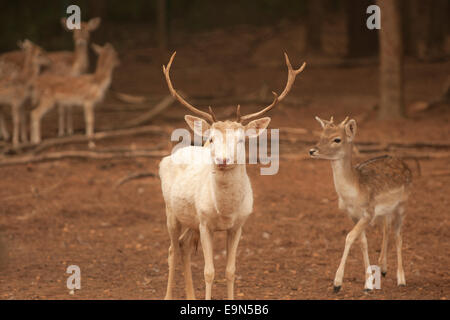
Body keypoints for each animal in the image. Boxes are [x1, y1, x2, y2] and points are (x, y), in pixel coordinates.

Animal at [159, 51, 306, 298]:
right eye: (211, 138)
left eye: (241, 140)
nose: (223, 160)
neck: (225, 212)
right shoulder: (205, 224)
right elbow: (209, 272)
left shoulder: (238, 225)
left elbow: (230, 271)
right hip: (171, 211)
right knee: (171, 250)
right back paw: (169, 295)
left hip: (190, 220)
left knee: (183, 245)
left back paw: (191, 295)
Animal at [310, 116, 412, 292]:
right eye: (322, 135)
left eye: (337, 139)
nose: (312, 151)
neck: (353, 193)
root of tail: (406, 165)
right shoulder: (353, 215)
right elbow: (362, 242)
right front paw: (368, 284)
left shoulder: (368, 212)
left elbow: (349, 237)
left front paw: (337, 283)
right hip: (386, 210)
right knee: (386, 228)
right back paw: (383, 268)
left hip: (403, 205)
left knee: (398, 235)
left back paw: (401, 279)